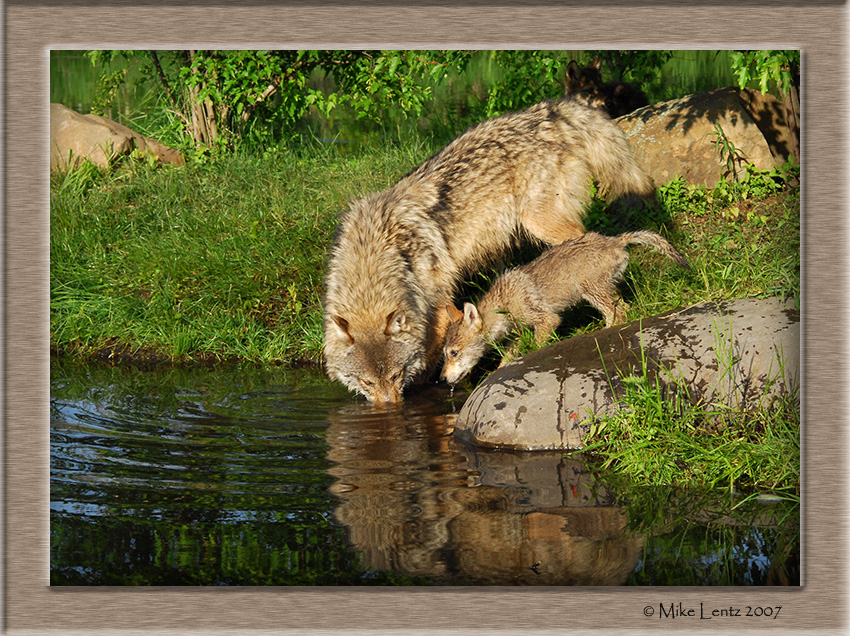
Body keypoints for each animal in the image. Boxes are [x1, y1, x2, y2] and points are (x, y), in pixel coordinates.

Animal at [322, 98, 652, 402]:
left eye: (395, 374)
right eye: (366, 382)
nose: (389, 409)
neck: (377, 254)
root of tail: (551, 110)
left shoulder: (437, 299)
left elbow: (433, 349)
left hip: (541, 223)